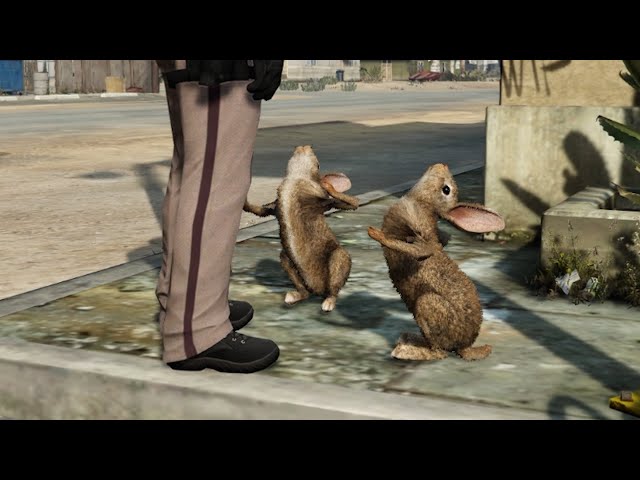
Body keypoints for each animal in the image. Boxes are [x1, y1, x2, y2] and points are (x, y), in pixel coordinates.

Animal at [244, 145, 359, 312]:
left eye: (318, 164)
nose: (305, 146)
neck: (297, 179)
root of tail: (318, 290)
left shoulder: (319, 199)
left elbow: (353, 203)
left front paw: (329, 185)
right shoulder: (276, 204)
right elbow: (260, 210)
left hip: (336, 262)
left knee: (339, 261)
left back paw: (329, 302)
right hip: (293, 265)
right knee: (286, 260)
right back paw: (296, 296)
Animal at [367, 163, 505, 361]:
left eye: (446, 189)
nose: (441, 165)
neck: (422, 203)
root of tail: (465, 346)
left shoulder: (419, 228)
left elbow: (423, 249)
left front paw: (375, 233)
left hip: (427, 304)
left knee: (440, 351)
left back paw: (407, 350)